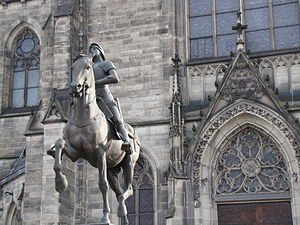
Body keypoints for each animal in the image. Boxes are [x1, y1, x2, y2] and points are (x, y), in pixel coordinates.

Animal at [50, 55, 141, 224]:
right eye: (72, 67)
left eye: (87, 67)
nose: (75, 86)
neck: (83, 116)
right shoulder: (76, 153)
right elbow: (59, 145)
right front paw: (60, 183)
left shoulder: (100, 154)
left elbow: (102, 185)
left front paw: (105, 216)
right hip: (112, 169)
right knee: (119, 192)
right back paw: (123, 213)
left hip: (129, 163)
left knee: (128, 190)